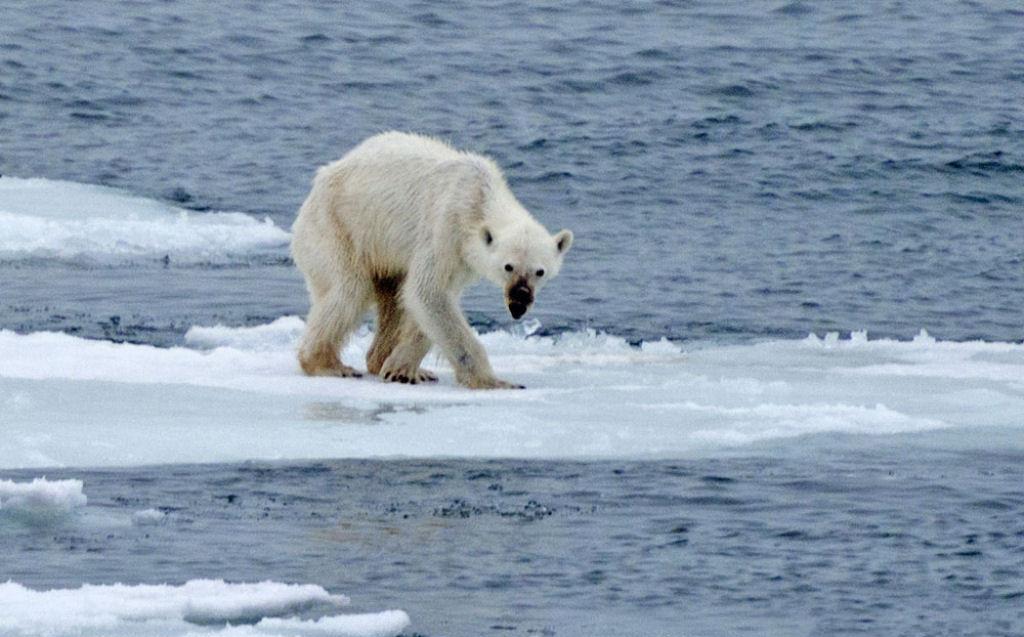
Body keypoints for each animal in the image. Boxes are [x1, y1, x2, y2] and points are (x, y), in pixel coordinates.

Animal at [292, 133, 573, 391]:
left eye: (540, 271)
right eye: (508, 267)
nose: (519, 300)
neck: (479, 196)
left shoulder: (461, 258)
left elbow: (427, 300)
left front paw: (401, 369)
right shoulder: (445, 226)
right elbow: (428, 292)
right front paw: (495, 382)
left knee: (393, 298)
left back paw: (385, 361)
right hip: (336, 227)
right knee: (349, 289)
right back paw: (327, 364)